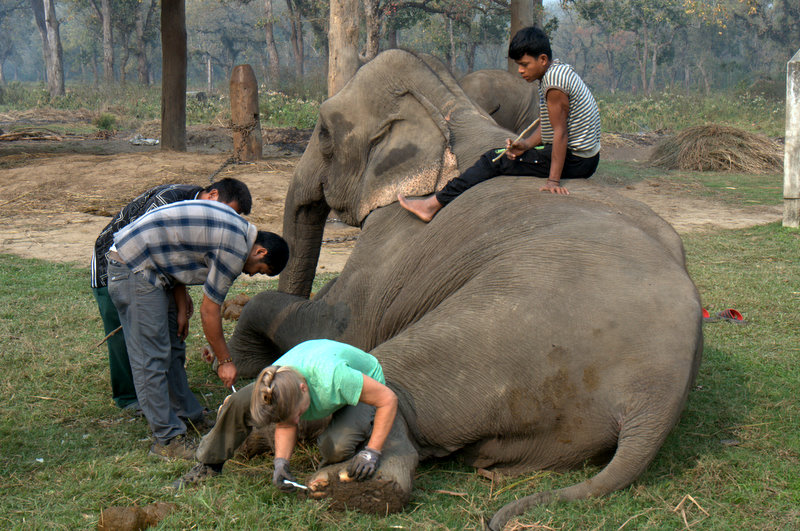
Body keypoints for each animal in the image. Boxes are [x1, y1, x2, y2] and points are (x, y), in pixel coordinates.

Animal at [228, 47, 704, 528]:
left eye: (325, 132)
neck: (450, 107)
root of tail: (654, 398)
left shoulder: (399, 229)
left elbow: (342, 327)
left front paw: (245, 362)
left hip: (511, 329)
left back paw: (321, 463)